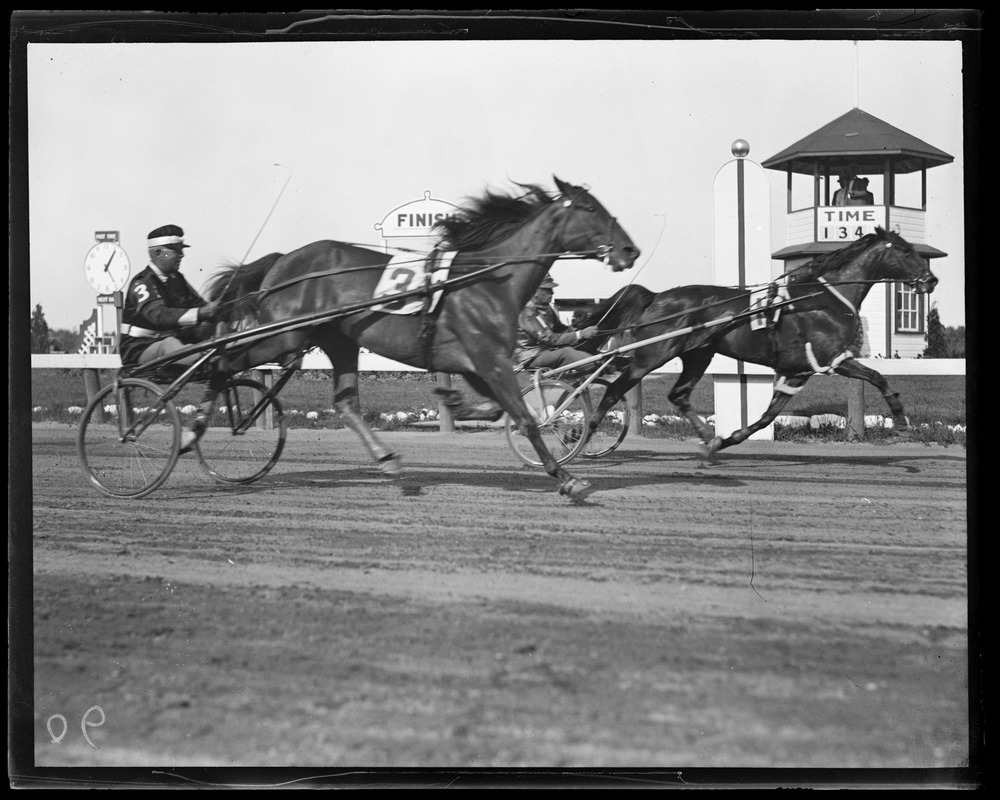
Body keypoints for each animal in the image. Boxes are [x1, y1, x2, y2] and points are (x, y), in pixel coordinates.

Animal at [205, 177, 640, 500]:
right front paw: (567, 478)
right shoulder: (490, 360)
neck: (487, 281)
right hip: (285, 335)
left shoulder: (479, 362)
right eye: (590, 209)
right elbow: (526, 419)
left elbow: (497, 410)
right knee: (221, 361)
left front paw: (455, 402)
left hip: (337, 340)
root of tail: (282, 259)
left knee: (346, 403)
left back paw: (391, 462)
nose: (629, 249)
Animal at [576, 228, 940, 460]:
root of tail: (655, 296)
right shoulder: (833, 359)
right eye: (905, 250)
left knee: (678, 394)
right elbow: (878, 376)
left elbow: (767, 417)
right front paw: (902, 423)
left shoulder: (797, 371)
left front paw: (724, 441)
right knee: (614, 389)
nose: (932, 279)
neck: (823, 299)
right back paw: (581, 439)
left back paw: (708, 438)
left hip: (698, 354)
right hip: (652, 355)